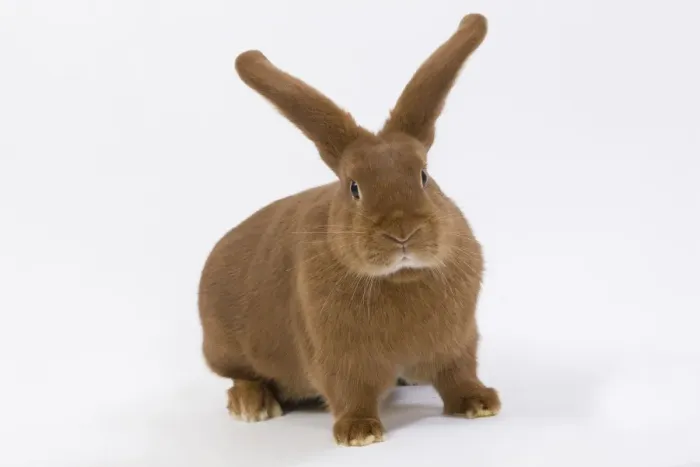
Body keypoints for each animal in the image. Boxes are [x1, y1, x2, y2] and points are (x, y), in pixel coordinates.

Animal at [198, 13, 499, 447]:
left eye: (424, 175)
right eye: (354, 187)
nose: (402, 231)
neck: (401, 278)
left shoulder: (457, 343)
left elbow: (458, 375)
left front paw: (480, 403)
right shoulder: (338, 357)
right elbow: (349, 392)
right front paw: (360, 433)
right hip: (226, 347)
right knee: (241, 376)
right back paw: (252, 406)